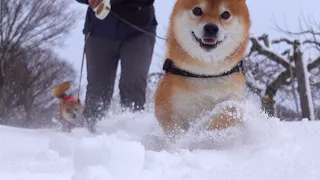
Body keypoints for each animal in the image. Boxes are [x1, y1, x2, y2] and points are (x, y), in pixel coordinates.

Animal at [154, 0, 251, 139]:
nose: (211, 27)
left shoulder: (233, 97)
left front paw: (205, 133)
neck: (205, 74)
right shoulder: (165, 101)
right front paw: (186, 138)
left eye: (226, 14)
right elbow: (174, 129)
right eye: (197, 10)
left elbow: (229, 111)